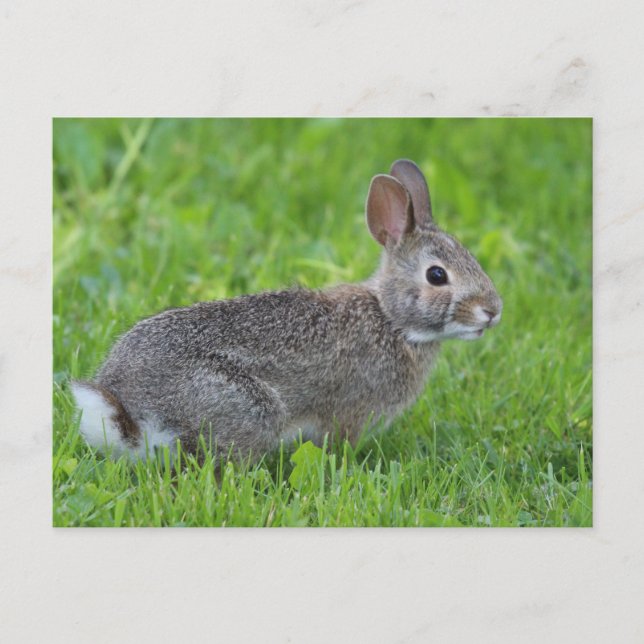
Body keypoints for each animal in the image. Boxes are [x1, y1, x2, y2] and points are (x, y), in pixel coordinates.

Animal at [71, 159, 502, 461]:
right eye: (436, 275)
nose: (493, 311)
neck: (391, 320)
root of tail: (127, 412)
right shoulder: (349, 414)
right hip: (246, 406)